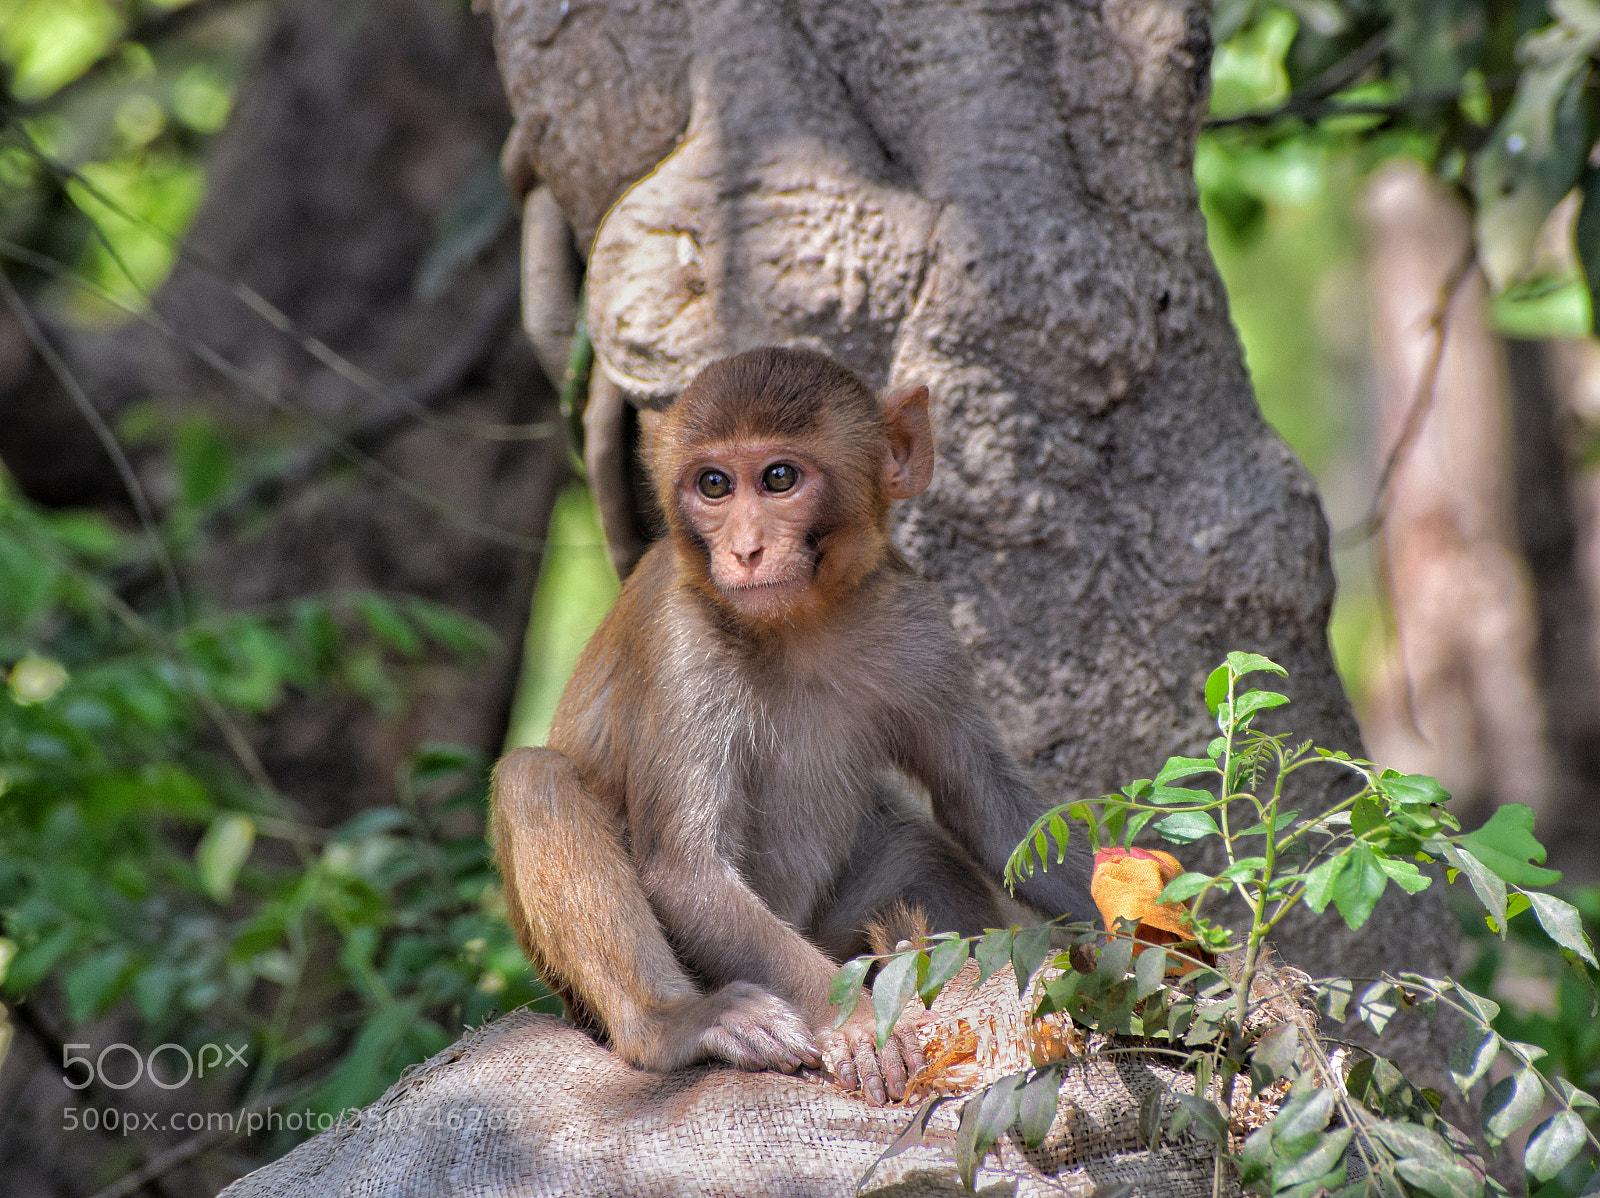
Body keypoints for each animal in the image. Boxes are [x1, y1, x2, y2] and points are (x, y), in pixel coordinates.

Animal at [491, 347, 1094, 1104]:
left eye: (779, 478)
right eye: (713, 485)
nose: (745, 550)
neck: (801, 623)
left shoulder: (915, 620)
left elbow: (988, 810)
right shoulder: (682, 642)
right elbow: (686, 871)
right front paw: (859, 1023)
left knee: (920, 852)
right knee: (533, 777)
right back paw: (675, 1023)